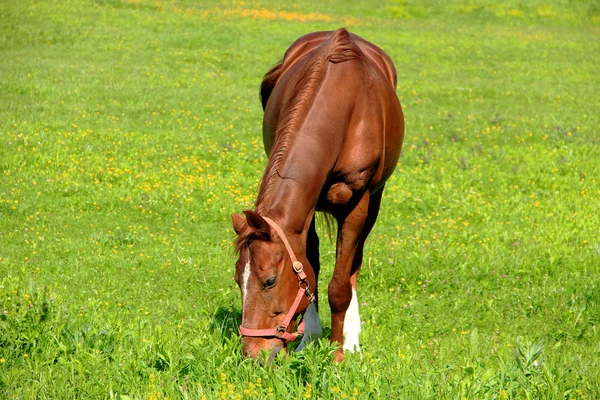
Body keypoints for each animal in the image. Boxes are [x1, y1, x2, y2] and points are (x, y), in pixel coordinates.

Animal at [232, 28, 406, 362]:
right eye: (237, 280)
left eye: (269, 281)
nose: (253, 355)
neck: (344, 106)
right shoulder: (307, 208)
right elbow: (311, 264)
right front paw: (309, 337)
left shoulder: (357, 203)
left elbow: (339, 284)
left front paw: (338, 352)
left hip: (375, 200)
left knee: (354, 265)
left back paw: (351, 338)